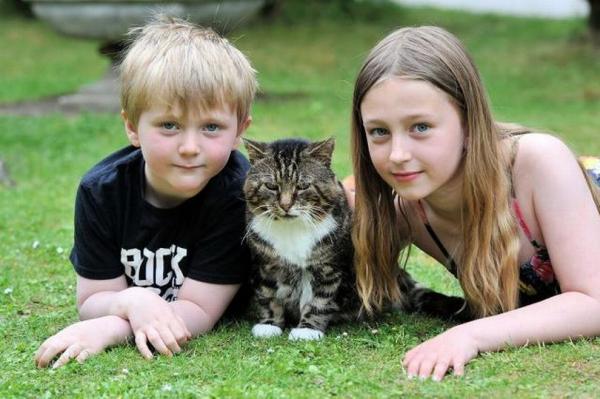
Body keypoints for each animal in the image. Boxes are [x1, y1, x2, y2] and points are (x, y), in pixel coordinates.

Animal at [241, 138, 472, 340]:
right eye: (271, 187)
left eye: (303, 186)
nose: (286, 205)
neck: (292, 230)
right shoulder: (265, 265)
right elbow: (268, 295)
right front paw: (269, 324)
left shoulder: (329, 268)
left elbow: (319, 300)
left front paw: (307, 329)